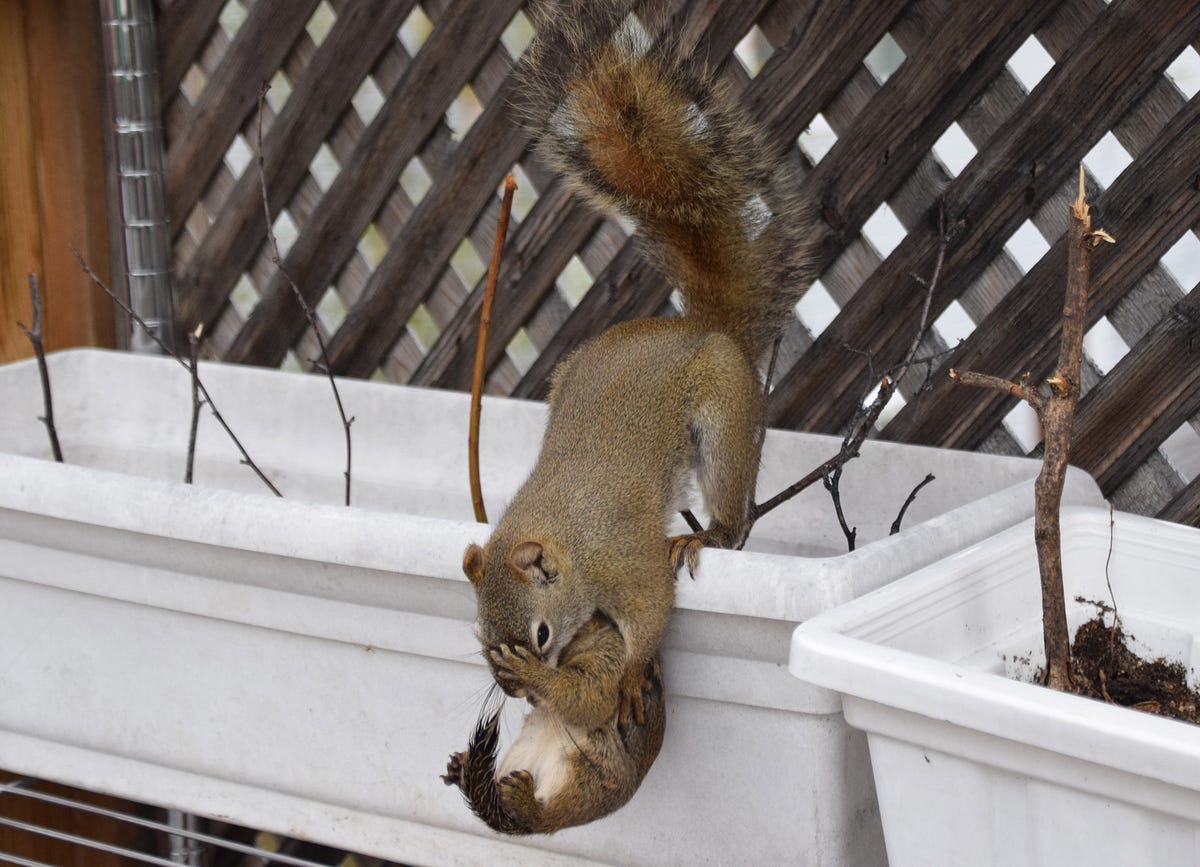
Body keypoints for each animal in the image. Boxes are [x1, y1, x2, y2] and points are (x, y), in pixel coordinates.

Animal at [443, 613, 666, 835]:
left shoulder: (612, 659)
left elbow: (586, 697)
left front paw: (526, 668)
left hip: (588, 777)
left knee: (545, 817)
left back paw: (526, 802)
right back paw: (461, 770)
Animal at [462, 0, 813, 728]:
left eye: (541, 633)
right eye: (479, 636)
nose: (514, 690)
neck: (563, 529)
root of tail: (706, 329)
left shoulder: (625, 559)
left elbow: (650, 613)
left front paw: (624, 677)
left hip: (725, 418)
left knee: (735, 513)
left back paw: (711, 533)